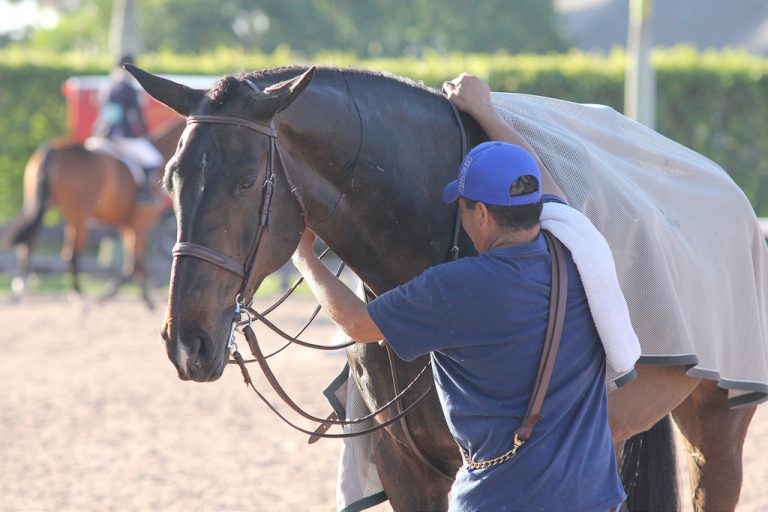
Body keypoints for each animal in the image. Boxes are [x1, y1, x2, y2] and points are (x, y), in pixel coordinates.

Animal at [6, 119, 185, 309]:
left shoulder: (127, 225)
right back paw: (80, 298)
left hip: (41, 205)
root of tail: (55, 149)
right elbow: (136, 262)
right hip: (79, 216)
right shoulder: (142, 222)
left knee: (29, 243)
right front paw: (117, 295)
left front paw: (141, 297)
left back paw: (19, 289)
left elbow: (133, 262)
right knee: (72, 254)